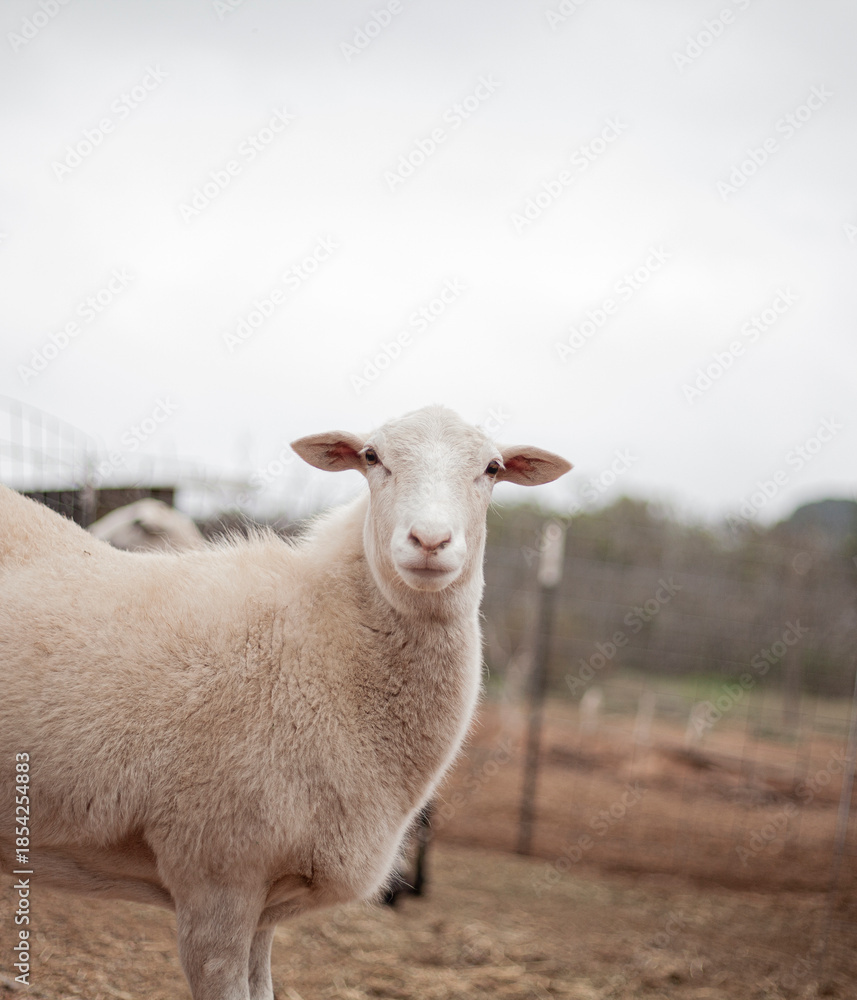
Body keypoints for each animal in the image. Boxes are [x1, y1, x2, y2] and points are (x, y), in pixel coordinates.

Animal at [0, 405, 571, 1000]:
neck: (320, 644)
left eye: (493, 468)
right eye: (372, 457)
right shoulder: (216, 880)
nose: (430, 540)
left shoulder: (264, 907)